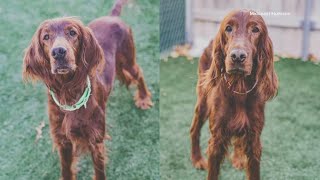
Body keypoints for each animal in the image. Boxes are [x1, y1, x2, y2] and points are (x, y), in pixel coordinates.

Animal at [22, 0, 152, 179]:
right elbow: (66, 169)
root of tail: (112, 17)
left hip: (128, 58)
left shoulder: (95, 139)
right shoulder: (63, 140)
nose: (59, 52)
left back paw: (144, 98)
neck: (69, 95)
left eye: (72, 33)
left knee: (138, 73)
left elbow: (99, 171)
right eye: (46, 37)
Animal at [190, 10, 278, 180]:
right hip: (203, 104)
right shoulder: (217, 139)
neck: (240, 89)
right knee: (194, 130)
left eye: (255, 29)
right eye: (228, 28)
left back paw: (237, 158)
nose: (237, 56)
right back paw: (197, 159)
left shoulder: (254, 139)